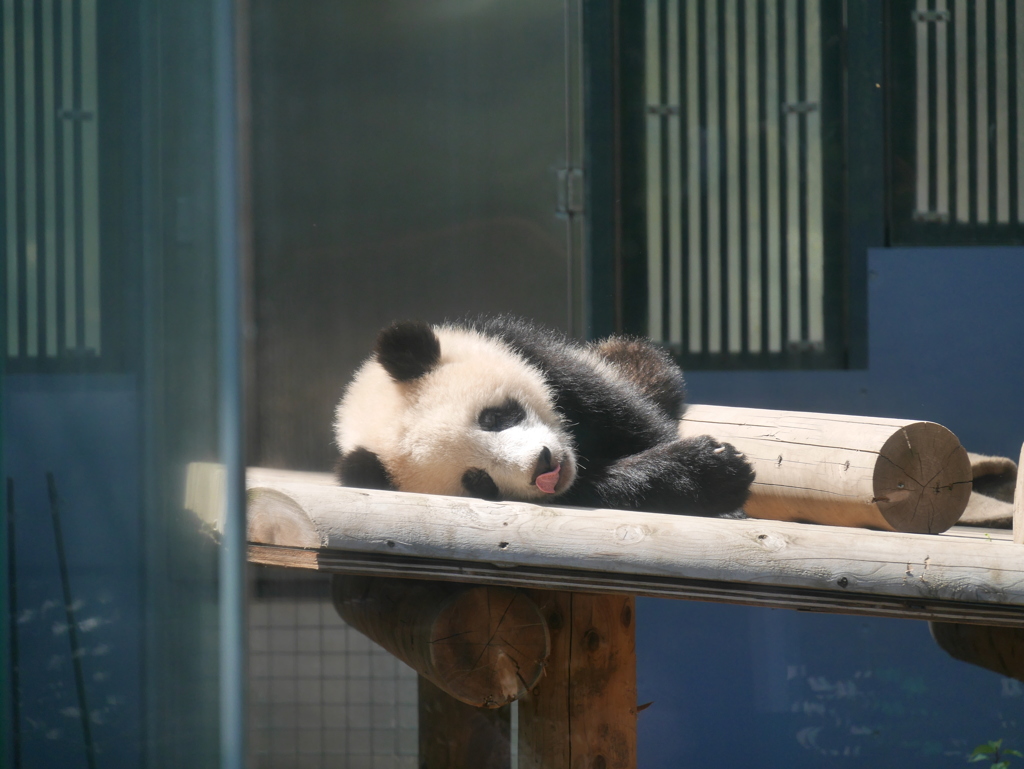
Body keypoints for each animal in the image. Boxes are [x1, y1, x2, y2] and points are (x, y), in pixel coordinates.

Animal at [333, 313, 753, 518]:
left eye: (493, 418)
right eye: (477, 480)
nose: (543, 466)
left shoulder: (532, 354)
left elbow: (631, 420)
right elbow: (595, 488)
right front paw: (710, 477)